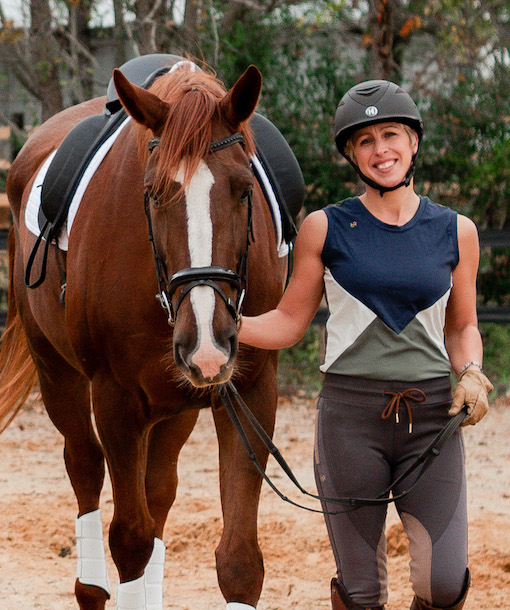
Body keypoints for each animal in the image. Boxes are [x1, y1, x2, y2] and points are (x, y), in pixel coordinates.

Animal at [0, 61, 286, 609]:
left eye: (244, 190)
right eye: (152, 192)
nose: (208, 343)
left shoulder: (250, 390)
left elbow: (240, 559)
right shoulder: (117, 399)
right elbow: (130, 540)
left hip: (175, 406)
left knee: (159, 492)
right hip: (57, 372)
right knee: (85, 464)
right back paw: (90, 587)